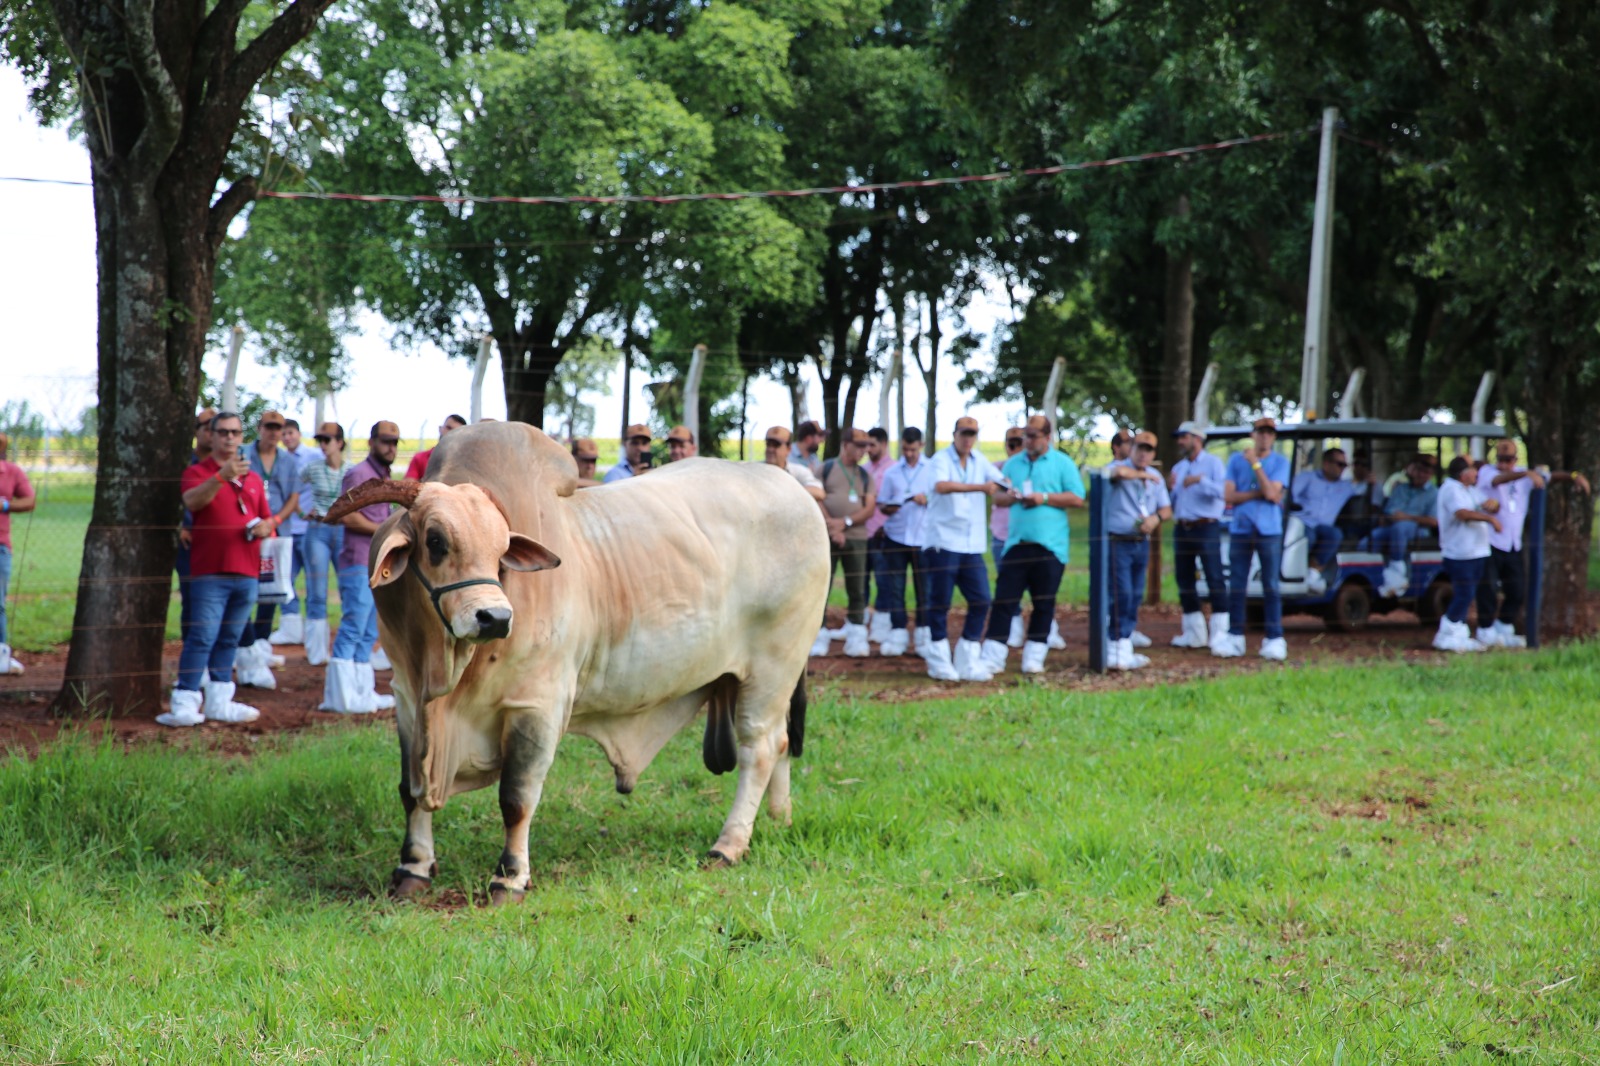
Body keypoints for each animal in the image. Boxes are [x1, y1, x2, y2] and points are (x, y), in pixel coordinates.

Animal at [320, 419, 832, 902]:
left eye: (502, 550)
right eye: (434, 541)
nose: (495, 618)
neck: (445, 678)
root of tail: (796, 493)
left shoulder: (536, 706)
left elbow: (516, 798)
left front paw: (510, 878)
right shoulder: (407, 699)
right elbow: (411, 792)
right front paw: (413, 867)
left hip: (773, 668)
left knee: (760, 748)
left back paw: (729, 844)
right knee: (781, 743)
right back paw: (779, 819)